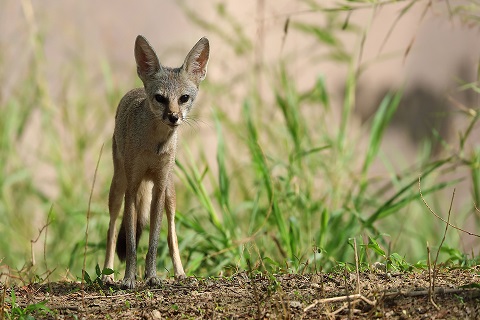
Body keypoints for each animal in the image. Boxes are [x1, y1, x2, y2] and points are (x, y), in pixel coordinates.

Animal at [103, 35, 210, 290]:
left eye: (183, 98)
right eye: (160, 98)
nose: (173, 117)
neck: (155, 146)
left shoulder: (159, 188)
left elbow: (153, 241)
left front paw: (151, 276)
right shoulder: (132, 189)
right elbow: (131, 244)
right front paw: (129, 278)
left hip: (170, 193)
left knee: (171, 232)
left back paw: (180, 273)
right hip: (118, 188)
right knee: (112, 229)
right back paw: (107, 274)